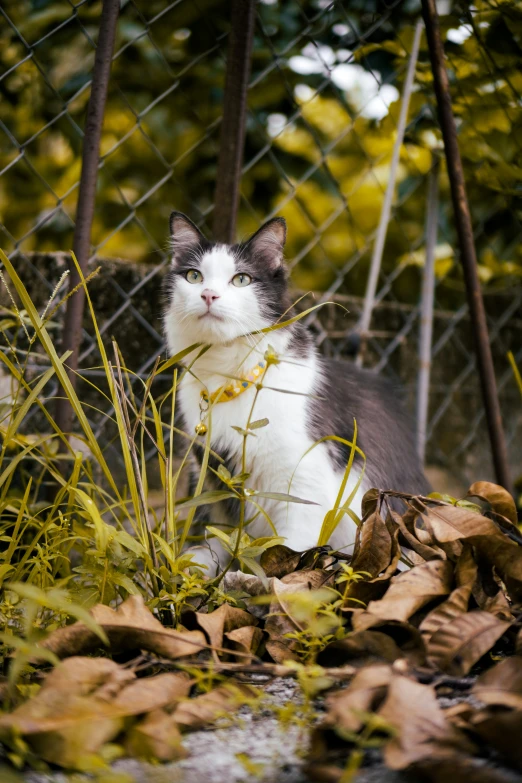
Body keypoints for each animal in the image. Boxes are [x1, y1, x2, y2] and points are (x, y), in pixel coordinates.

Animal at [165, 211, 428, 572]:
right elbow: (218, 530)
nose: (208, 295)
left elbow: (288, 554)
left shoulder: (305, 479)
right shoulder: (212, 471)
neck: (231, 378)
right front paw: (200, 566)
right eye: (194, 276)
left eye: (241, 280)